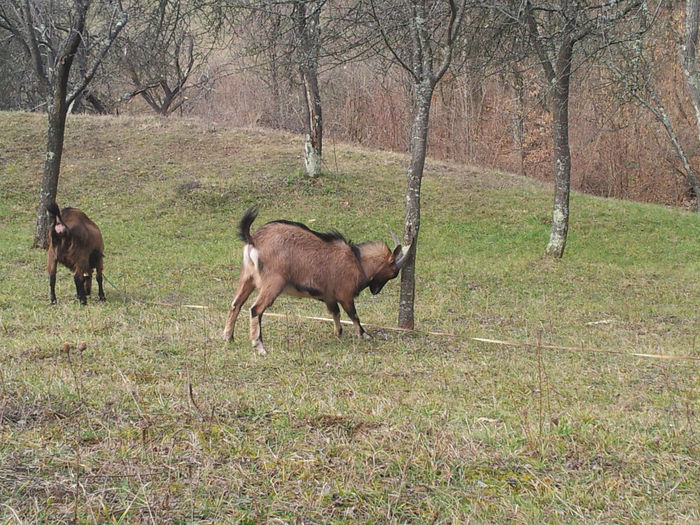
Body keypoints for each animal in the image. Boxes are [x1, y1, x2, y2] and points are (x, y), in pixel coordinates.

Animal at [223, 207, 410, 354]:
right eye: (394, 271)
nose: (375, 290)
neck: (357, 260)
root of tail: (253, 239)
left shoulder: (329, 296)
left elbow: (335, 313)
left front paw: (338, 333)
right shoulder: (345, 294)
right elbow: (353, 315)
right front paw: (365, 335)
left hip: (247, 277)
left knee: (235, 304)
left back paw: (228, 338)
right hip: (273, 282)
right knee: (255, 309)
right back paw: (260, 346)